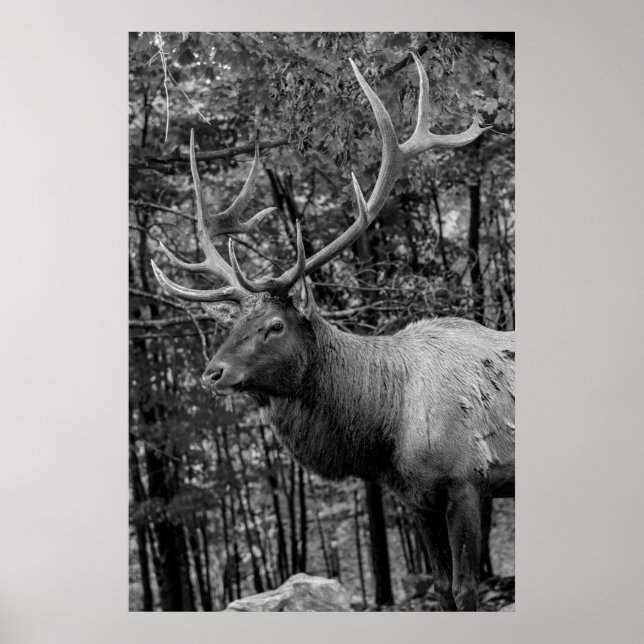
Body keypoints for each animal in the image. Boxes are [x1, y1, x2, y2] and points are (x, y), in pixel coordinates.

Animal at [151, 52, 515, 611]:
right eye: (233, 323)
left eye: (274, 325)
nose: (212, 373)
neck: (387, 429)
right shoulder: (416, 498)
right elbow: (440, 590)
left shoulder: (466, 481)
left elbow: (465, 589)